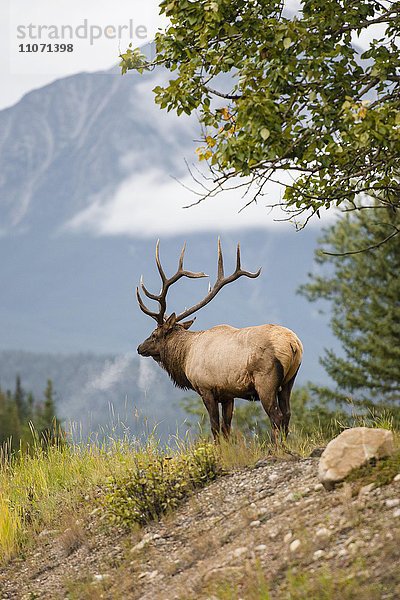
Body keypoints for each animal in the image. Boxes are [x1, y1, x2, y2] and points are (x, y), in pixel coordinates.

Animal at [138, 239, 304, 440]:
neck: (185, 357)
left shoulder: (206, 388)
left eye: (154, 334)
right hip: (289, 381)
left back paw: (276, 446)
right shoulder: (228, 394)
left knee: (276, 416)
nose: (139, 347)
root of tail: (293, 344)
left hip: (266, 381)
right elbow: (227, 428)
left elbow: (215, 427)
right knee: (287, 414)